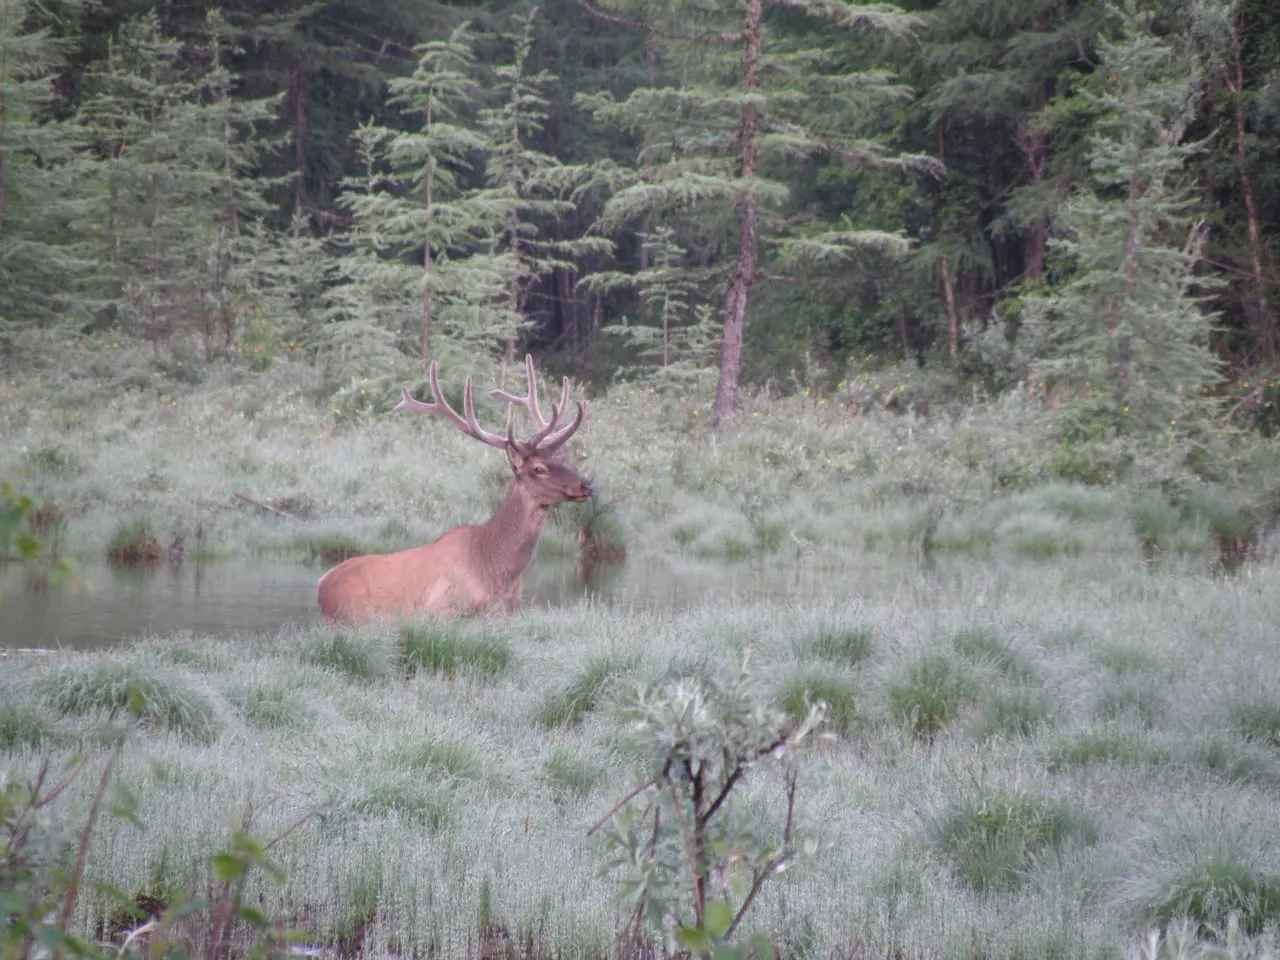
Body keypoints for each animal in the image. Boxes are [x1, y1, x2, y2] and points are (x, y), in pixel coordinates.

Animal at [317, 355, 591, 624]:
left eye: (559, 460)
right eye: (538, 469)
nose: (586, 484)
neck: (497, 574)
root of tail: (322, 586)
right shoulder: (439, 608)